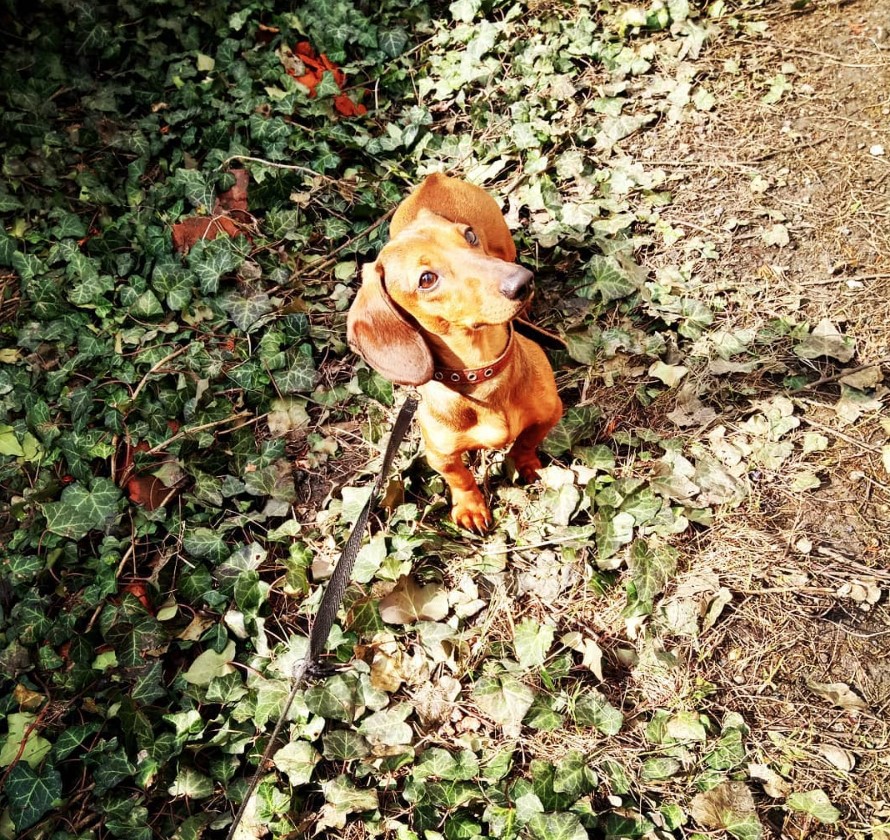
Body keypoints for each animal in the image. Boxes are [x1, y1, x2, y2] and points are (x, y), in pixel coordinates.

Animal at [344, 174, 560, 532]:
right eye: (427, 279)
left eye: (469, 235)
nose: (522, 282)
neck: (483, 374)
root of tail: (434, 179)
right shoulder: (440, 453)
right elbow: (459, 477)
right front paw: (470, 508)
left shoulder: (551, 412)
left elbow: (527, 441)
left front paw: (525, 463)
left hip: (505, 246)